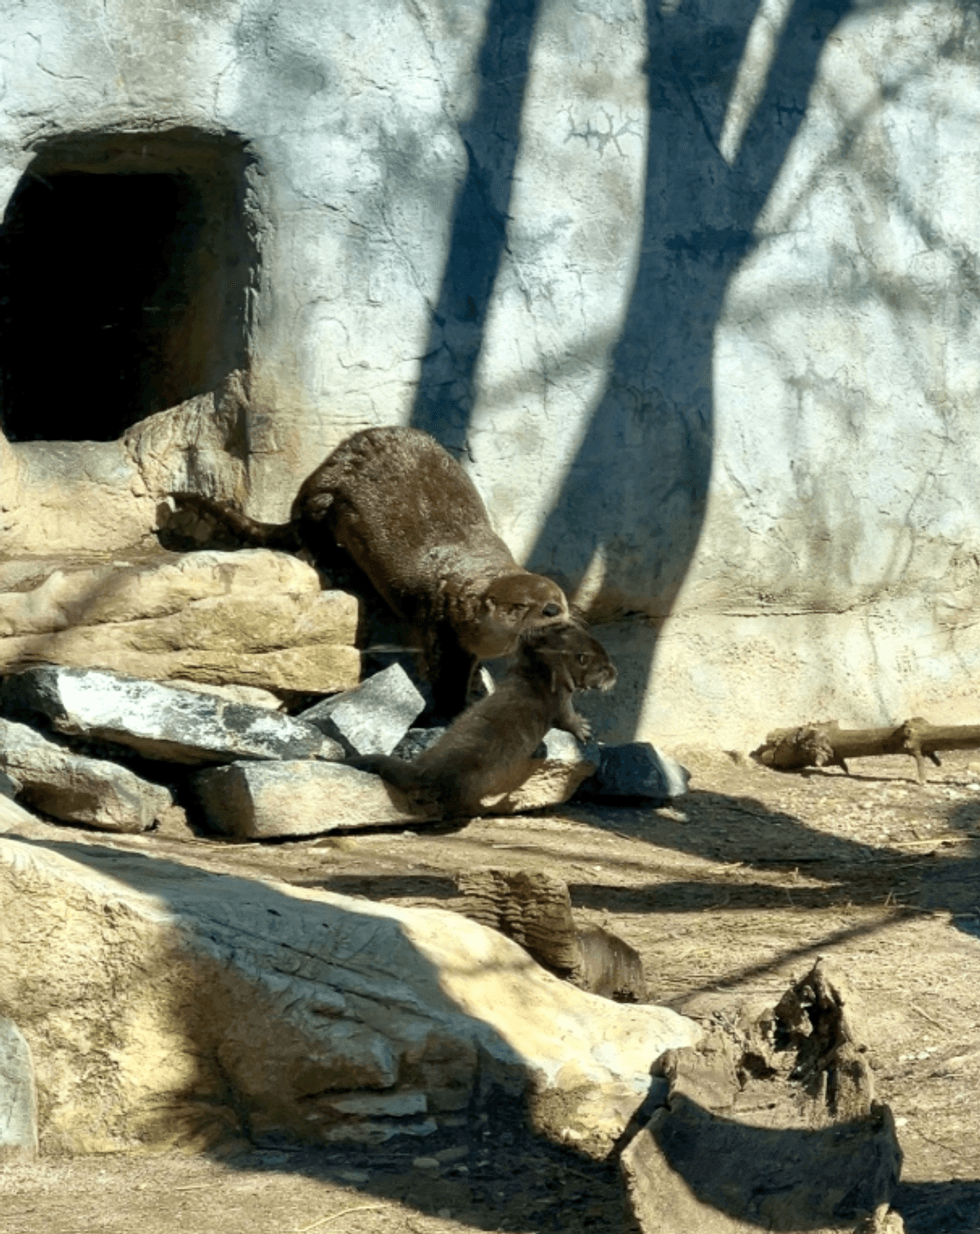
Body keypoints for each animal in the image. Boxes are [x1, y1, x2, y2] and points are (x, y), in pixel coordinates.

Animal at [168, 426, 570, 717]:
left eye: (559, 601)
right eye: (525, 607)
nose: (555, 614)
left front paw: (476, 689)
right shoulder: (439, 624)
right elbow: (442, 674)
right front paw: (453, 710)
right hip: (325, 494)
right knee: (306, 526)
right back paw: (324, 556)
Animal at [350, 621, 616, 819]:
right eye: (604, 667)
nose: (616, 673)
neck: (542, 673)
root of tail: (423, 770)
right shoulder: (560, 700)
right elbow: (566, 719)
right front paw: (582, 727)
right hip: (469, 783)